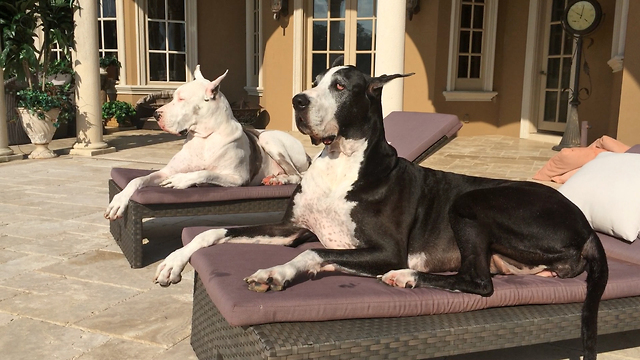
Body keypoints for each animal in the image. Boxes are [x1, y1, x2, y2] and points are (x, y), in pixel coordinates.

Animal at [105, 66, 310, 221]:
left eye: (181, 98)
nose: (156, 114)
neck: (205, 138)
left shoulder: (238, 179)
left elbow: (205, 172)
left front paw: (181, 180)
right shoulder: (165, 172)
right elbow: (137, 179)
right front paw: (119, 200)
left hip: (268, 139)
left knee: (298, 175)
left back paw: (280, 179)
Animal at [158, 65, 608, 360]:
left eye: (340, 86)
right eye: (314, 82)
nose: (297, 101)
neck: (341, 159)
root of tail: (586, 226)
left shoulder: (385, 250)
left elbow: (311, 252)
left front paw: (275, 273)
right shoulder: (290, 229)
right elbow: (213, 231)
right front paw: (173, 261)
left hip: (471, 202)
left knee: (479, 283)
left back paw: (406, 277)